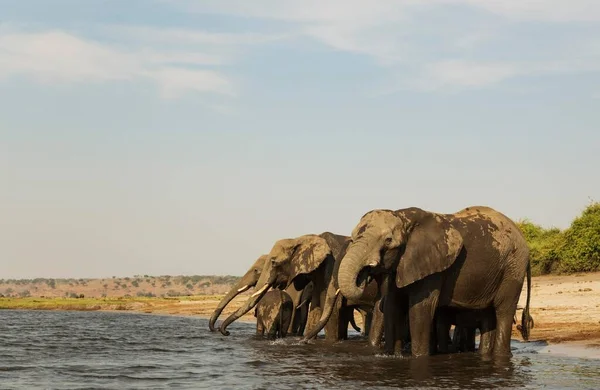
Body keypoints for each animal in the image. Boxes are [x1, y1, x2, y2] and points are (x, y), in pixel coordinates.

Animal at [218, 232, 380, 342]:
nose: (226, 332)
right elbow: (316, 310)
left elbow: (333, 313)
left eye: (273, 262)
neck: (300, 239)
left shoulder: (333, 271)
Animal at [338, 206, 536, 358]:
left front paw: (419, 357)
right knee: (488, 313)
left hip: (513, 267)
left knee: (503, 310)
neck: (402, 216)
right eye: (353, 238)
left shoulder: (431, 267)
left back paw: (501, 356)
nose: (365, 273)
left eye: (388, 241)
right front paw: (392, 356)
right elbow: (393, 305)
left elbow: (420, 309)